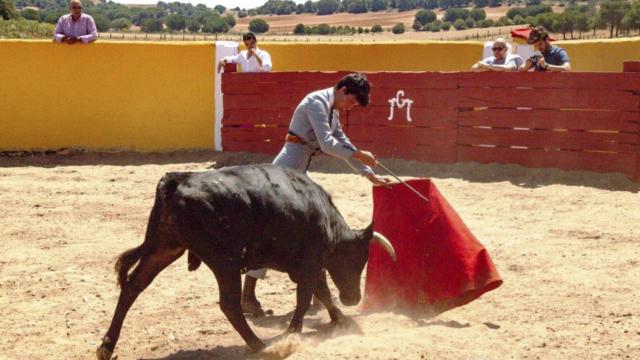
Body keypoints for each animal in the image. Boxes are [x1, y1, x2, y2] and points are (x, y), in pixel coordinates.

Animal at [96, 165, 396, 358]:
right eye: (358, 259)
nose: (353, 298)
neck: (324, 216)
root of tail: (178, 180)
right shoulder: (310, 262)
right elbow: (306, 295)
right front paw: (293, 333)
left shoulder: (308, 265)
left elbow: (320, 291)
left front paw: (340, 318)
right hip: (224, 260)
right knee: (229, 304)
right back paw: (260, 345)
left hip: (165, 248)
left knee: (133, 286)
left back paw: (106, 346)